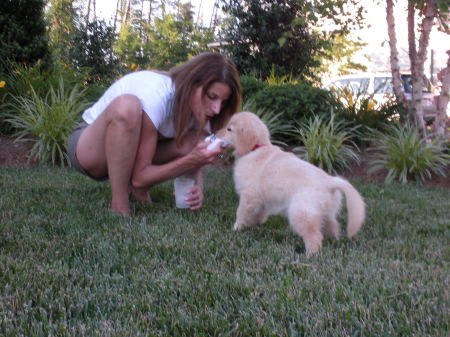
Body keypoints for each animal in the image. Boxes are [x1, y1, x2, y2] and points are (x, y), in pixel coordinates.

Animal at [218, 111, 366, 256]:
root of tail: (329, 181)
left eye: (229, 129)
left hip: (300, 211)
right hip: (325, 212)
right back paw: (334, 241)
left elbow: (241, 213)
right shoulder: (262, 199)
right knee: (332, 226)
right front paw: (257, 223)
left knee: (314, 235)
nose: (216, 133)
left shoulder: (249, 195)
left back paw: (311, 255)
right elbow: (259, 212)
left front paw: (236, 228)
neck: (256, 148)